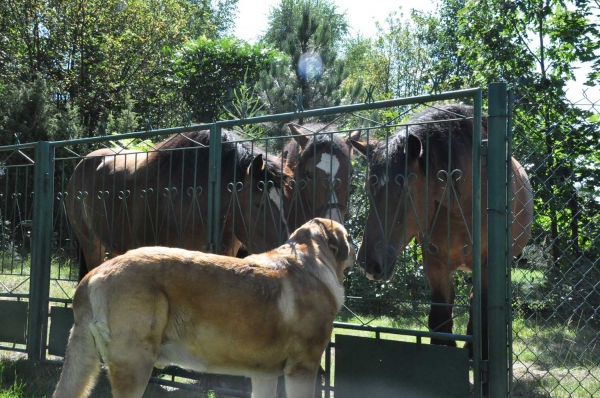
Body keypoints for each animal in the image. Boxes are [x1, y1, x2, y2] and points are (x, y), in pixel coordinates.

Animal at [350, 105, 532, 358]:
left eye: (404, 190)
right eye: (369, 189)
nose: (368, 263)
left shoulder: (487, 266)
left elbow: (482, 312)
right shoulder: (435, 264)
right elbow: (440, 317)